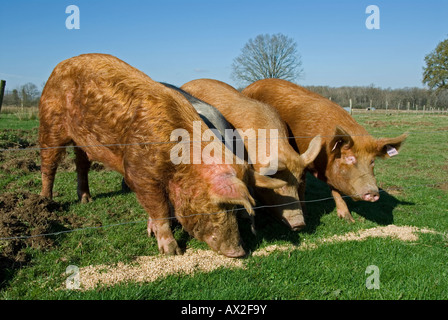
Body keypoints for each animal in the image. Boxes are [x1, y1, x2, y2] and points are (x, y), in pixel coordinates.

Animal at [38, 53, 284, 258]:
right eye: (217, 205)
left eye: (234, 208)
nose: (239, 252)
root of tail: (60, 65)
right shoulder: (140, 173)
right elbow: (160, 209)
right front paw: (172, 251)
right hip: (50, 122)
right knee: (49, 163)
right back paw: (45, 201)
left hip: (81, 140)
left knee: (81, 163)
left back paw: (85, 199)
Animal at [243, 78, 408, 222]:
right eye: (349, 158)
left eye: (372, 161)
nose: (373, 192)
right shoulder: (301, 159)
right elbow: (301, 186)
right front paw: (306, 214)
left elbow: (335, 189)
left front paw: (348, 219)